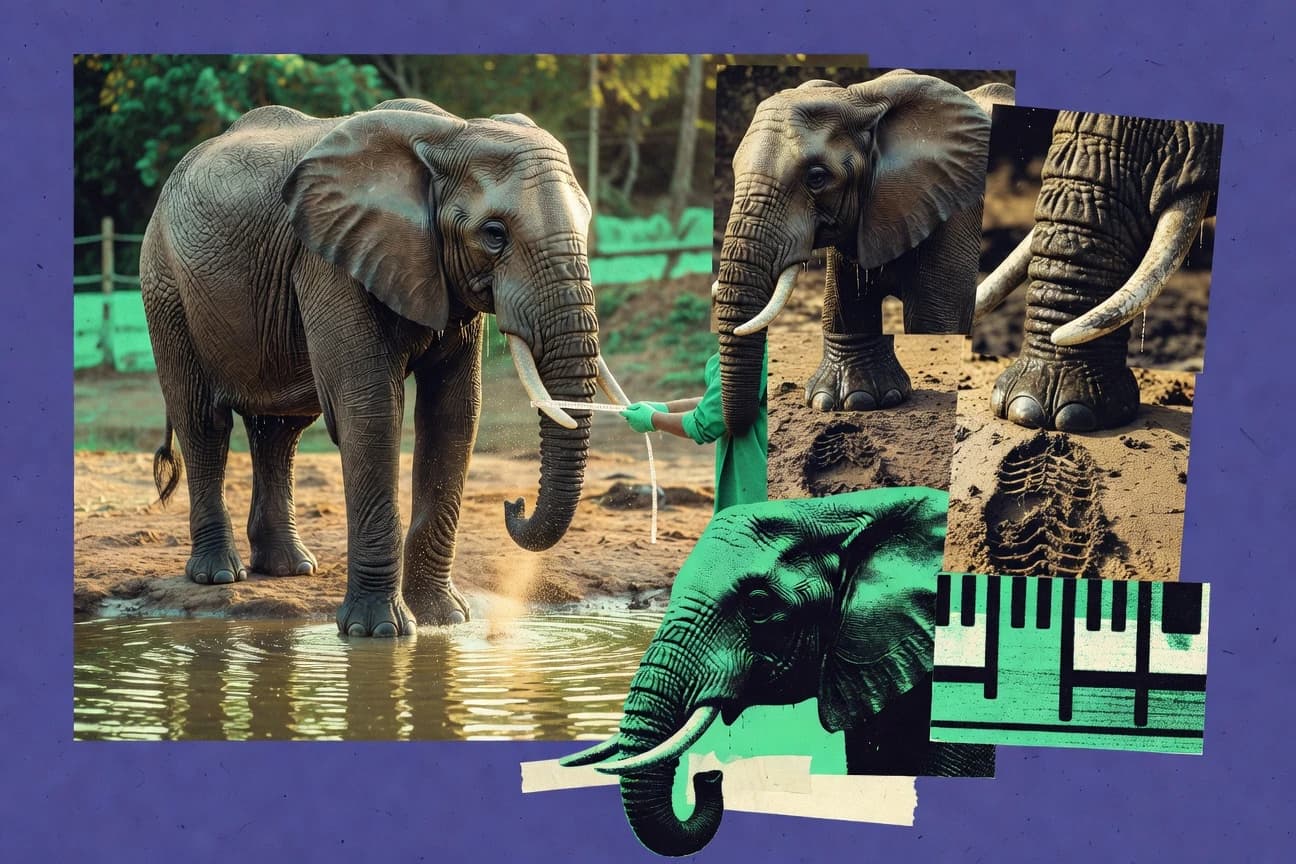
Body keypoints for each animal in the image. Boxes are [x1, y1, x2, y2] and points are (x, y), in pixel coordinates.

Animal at [140, 98, 629, 637]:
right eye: (494, 234)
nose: (513, 504)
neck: (449, 135)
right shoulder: (329, 261)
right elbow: (371, 409)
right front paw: (379, 632)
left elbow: (453, 415)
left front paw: (444, 620)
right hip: (164, 284)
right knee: (203, 420)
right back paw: (219, 576)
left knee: (280, 431)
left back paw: (290, 568)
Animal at [713, 69, 1015, 435]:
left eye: (817, 177)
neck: (861, 101)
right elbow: (847, 312)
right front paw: (849, 403)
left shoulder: (954, 211)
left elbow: (933, 320)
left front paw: (860, 401)